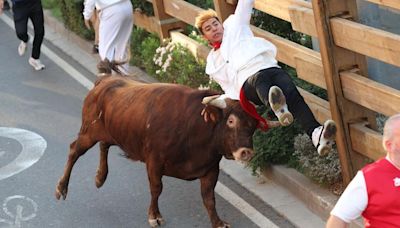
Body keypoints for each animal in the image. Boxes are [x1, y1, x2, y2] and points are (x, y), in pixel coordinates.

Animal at [54, 75, 276, 228]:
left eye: (254, 125)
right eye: (231, 121)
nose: (246, 152)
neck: (195, 129)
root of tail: (105, 80)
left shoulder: (210, 169)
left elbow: (209, 198)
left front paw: (218, 222)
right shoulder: (154, 162)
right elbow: (156, 189)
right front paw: (154, 216)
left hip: (110, 132)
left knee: (104, 145)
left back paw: (100, 177)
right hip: (88, 132)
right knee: (74, 151)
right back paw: (61, 188)